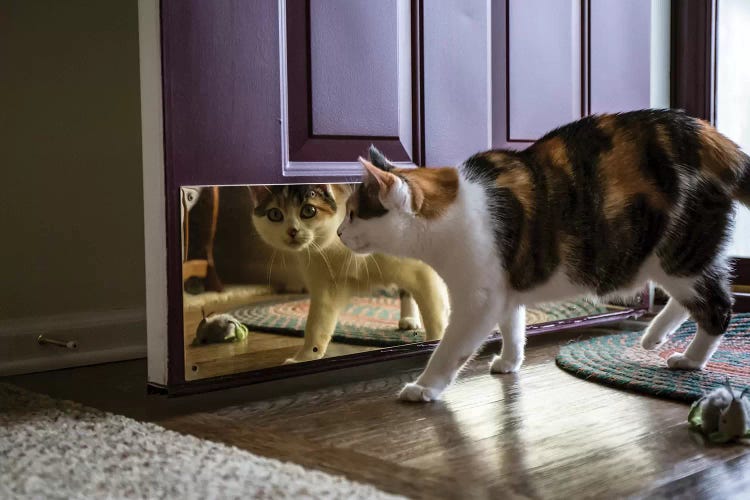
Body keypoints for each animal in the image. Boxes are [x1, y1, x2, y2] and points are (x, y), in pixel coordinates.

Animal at [250, 184, 450, 364]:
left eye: (309, 210)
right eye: (275, 214)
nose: (292, 231)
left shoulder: (420, 267)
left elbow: (434, 312)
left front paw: (435, 342)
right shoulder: (325, 285)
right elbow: (317, 323)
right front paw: (305, 357)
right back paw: (409, 318)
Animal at [340, 109, 750, 402]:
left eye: (353, 213)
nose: (340, 233)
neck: (451, 211)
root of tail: (708, 136)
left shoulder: (478, 299)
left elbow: (451, 348)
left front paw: (425, 386)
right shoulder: (504, 290)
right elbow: (513, 326)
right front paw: (510, 361)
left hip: (679, 251)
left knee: (719, 307)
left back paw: (691, 359)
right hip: (675, 259)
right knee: (693, 298)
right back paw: (654, 336)